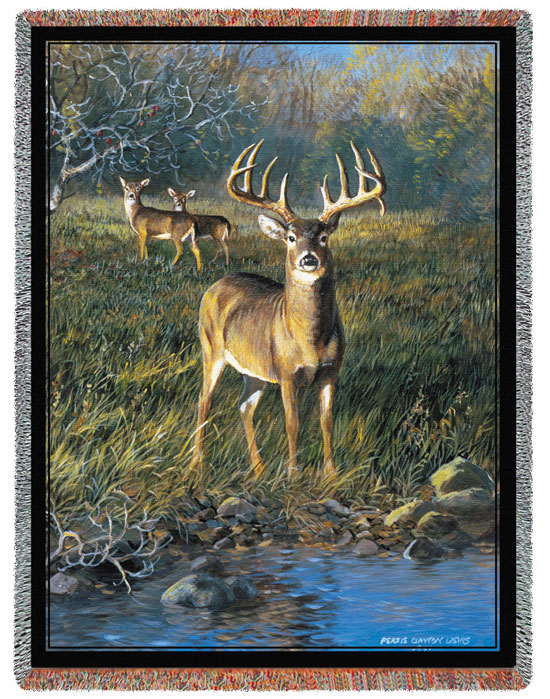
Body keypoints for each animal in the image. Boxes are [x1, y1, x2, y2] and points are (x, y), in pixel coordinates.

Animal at [191, 140, 386, 478]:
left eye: (324, 237)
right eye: (291, 237)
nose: (308, 258)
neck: (310, 341)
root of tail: (216, 284)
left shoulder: (331, 372)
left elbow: (326, 423)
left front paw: (330, 474)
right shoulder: (286, 374)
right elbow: (293, 424)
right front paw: (293, 474)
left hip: (254, 370)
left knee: (244, 406)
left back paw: (258, 468)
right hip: (211, 348)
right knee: (204, 400)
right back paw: (196, 462)